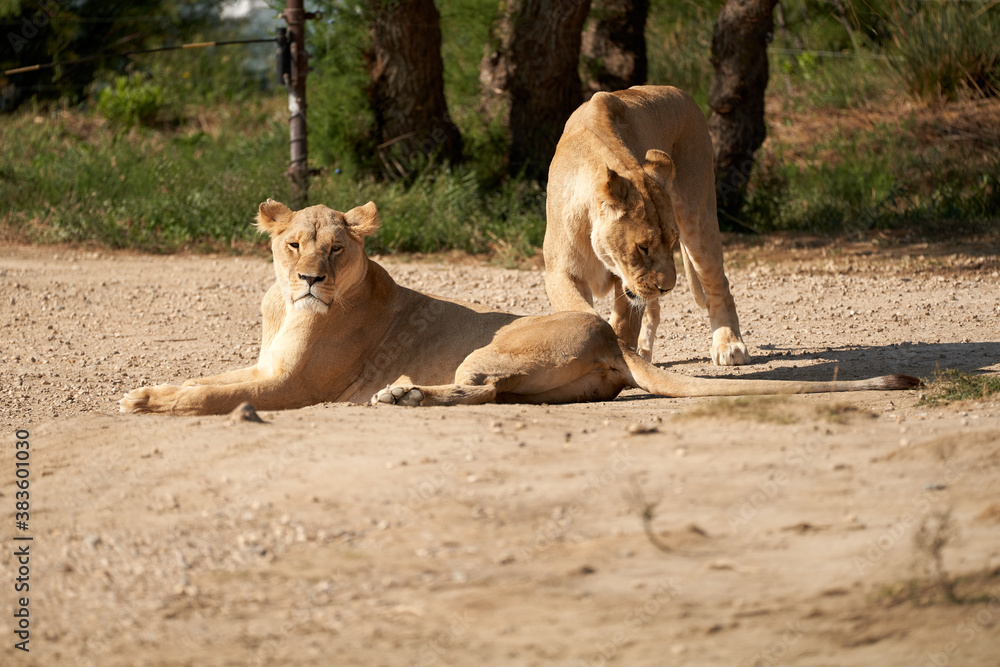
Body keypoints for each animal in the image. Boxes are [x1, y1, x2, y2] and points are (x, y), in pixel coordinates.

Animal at [119, 200, 918, 416]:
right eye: (291, 244)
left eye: (338, 250)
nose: (311, 278)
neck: (284, 304)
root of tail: (611, 337)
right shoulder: (265, 364)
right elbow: (210, 377)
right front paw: (149, 386)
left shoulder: (289, 384)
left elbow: (212, 393)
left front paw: (145, 399)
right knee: (499, 394)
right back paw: (406, 393)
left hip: (487, 347)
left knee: (483, 388)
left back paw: (404, 393)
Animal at [544, 85, 747, 365]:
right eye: (643, 247)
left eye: (672, 242)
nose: (667, 288)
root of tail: (679, 91)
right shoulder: (561, 272)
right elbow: (583, 315)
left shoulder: (627, 282)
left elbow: (623, 324)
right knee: (654, 308)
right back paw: (644, 349)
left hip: (698, 216)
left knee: (719, 286)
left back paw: (729, 344)